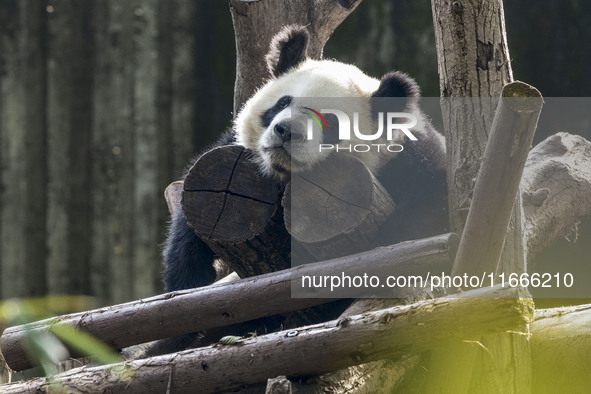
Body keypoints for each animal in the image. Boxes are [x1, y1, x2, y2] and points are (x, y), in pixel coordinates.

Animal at [147, 24, 444, 356]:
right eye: (282, 103)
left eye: (330, 122)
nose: (286, 130)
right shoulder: (229, 159)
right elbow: (190, 220)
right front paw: (189, 286)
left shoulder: (413, 160)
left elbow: (429, 209)